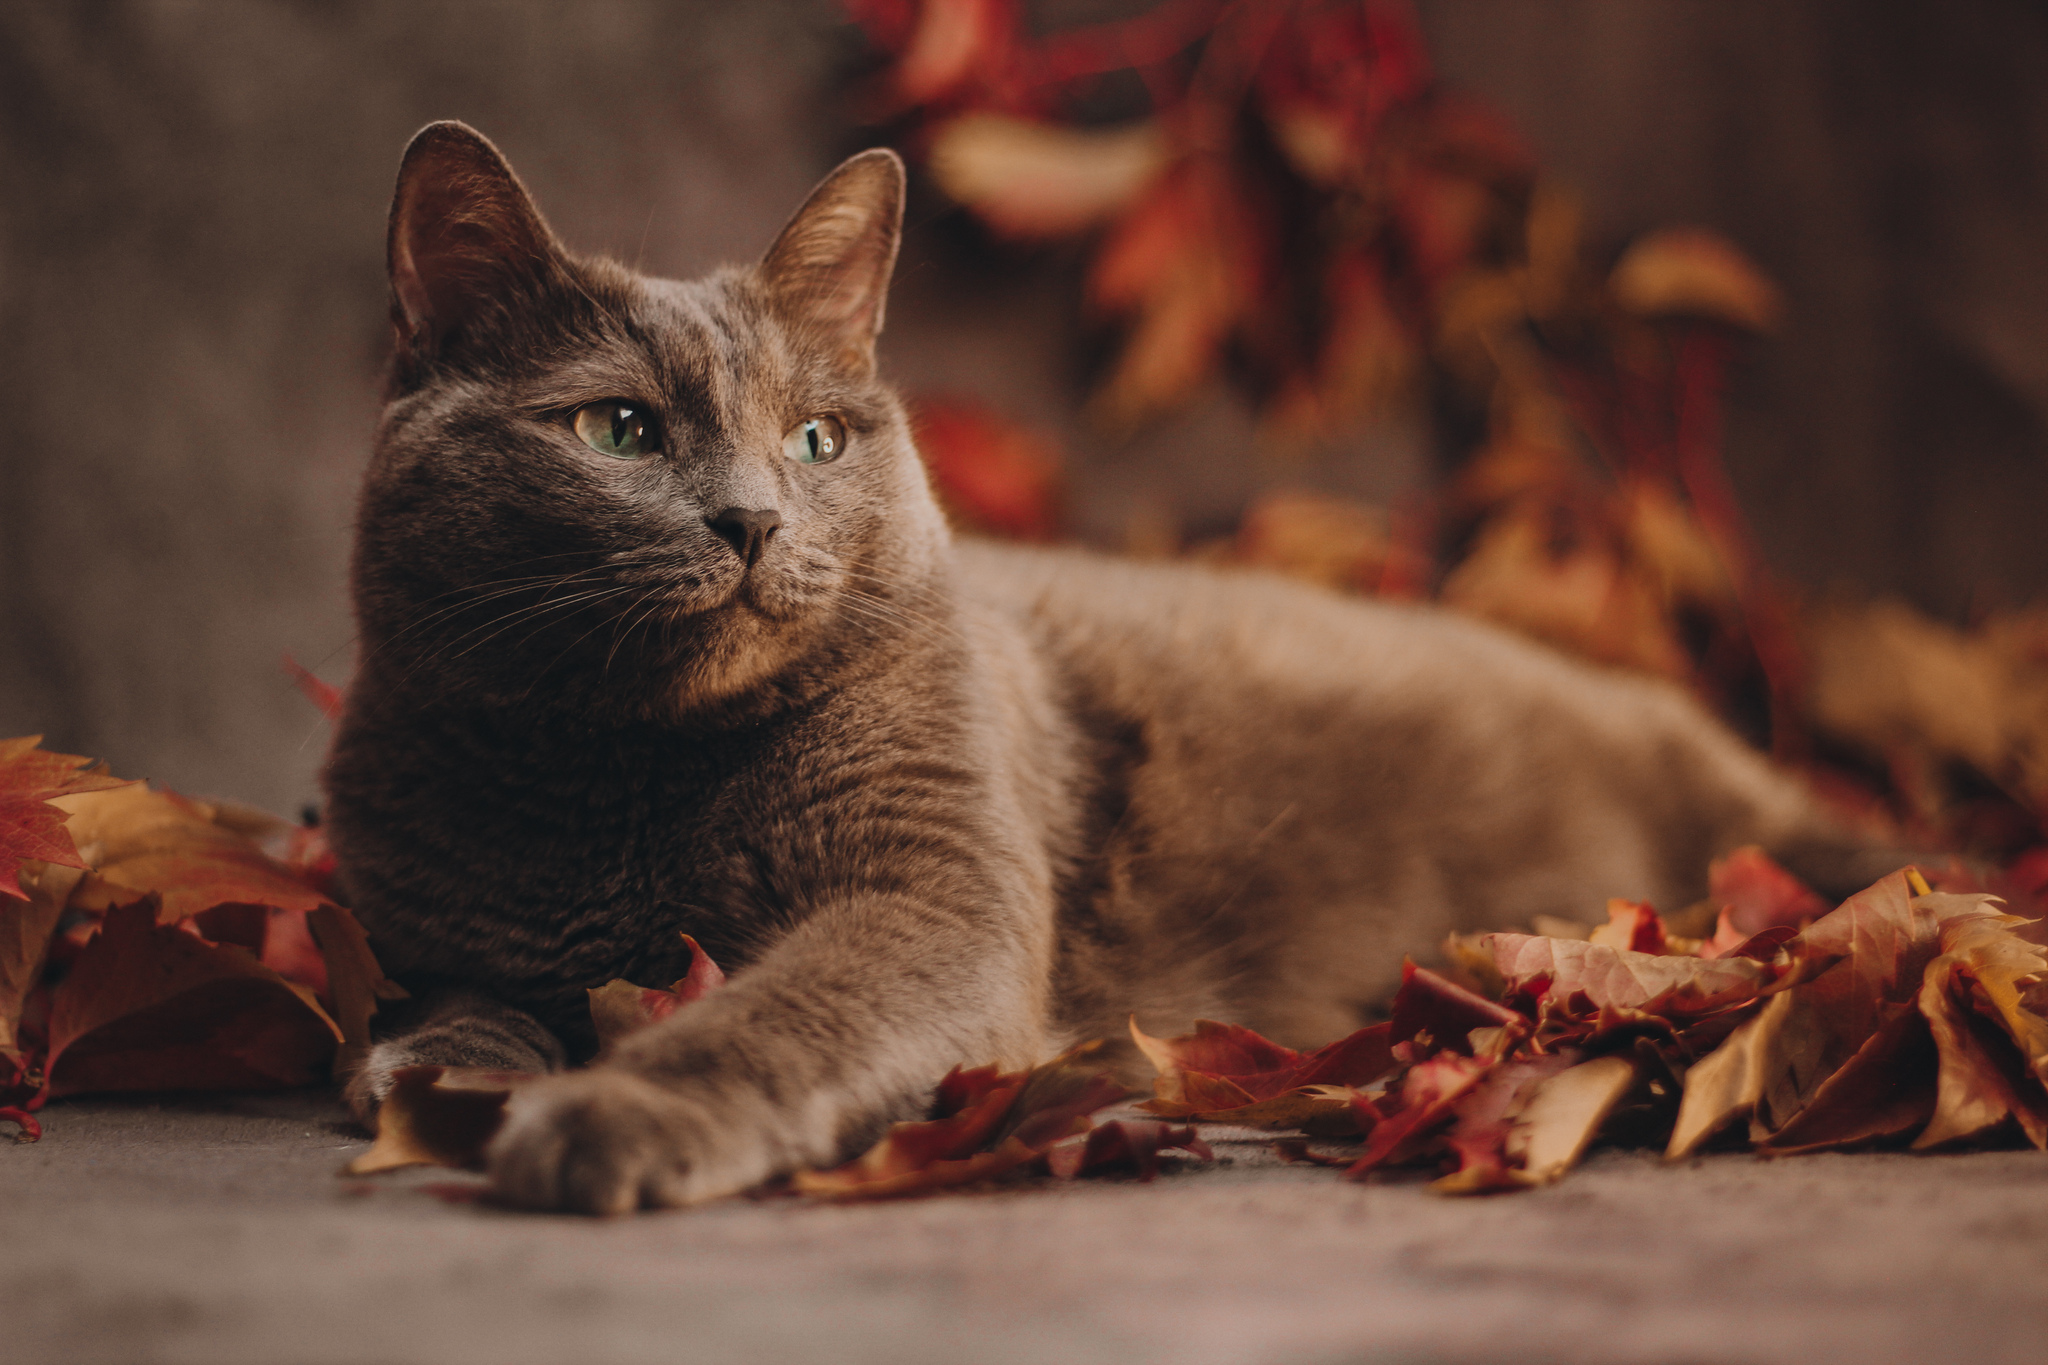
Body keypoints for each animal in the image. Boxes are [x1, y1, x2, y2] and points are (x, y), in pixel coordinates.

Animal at [319, 122, 1875, 1211]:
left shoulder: (936, 891)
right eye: (620, 430)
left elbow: (779, 1007)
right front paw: (438, 1066)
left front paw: (607, 1115)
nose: (753, 521)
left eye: (817, 440)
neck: (637, 776)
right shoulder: (430, 907)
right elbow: (449, 994)